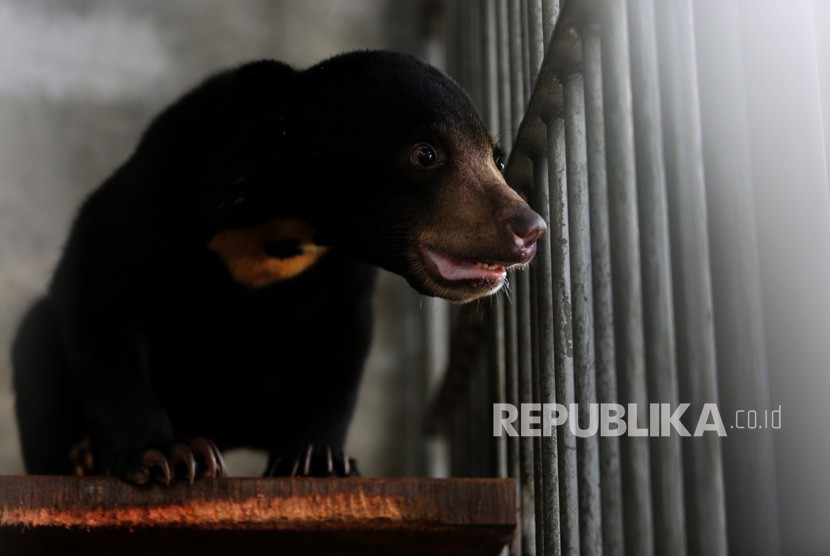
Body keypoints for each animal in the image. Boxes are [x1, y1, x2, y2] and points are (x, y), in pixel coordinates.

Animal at [13, 52, 548, 486]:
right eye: (426, 154)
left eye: (497, 159)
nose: (530, 229)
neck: (284, 223)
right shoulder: (154, 194)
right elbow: (97, 295)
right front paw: (166, 455)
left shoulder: (341, 273)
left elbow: (342, 346)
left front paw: (316, 459)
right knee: (35, 343)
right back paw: (80, 460)